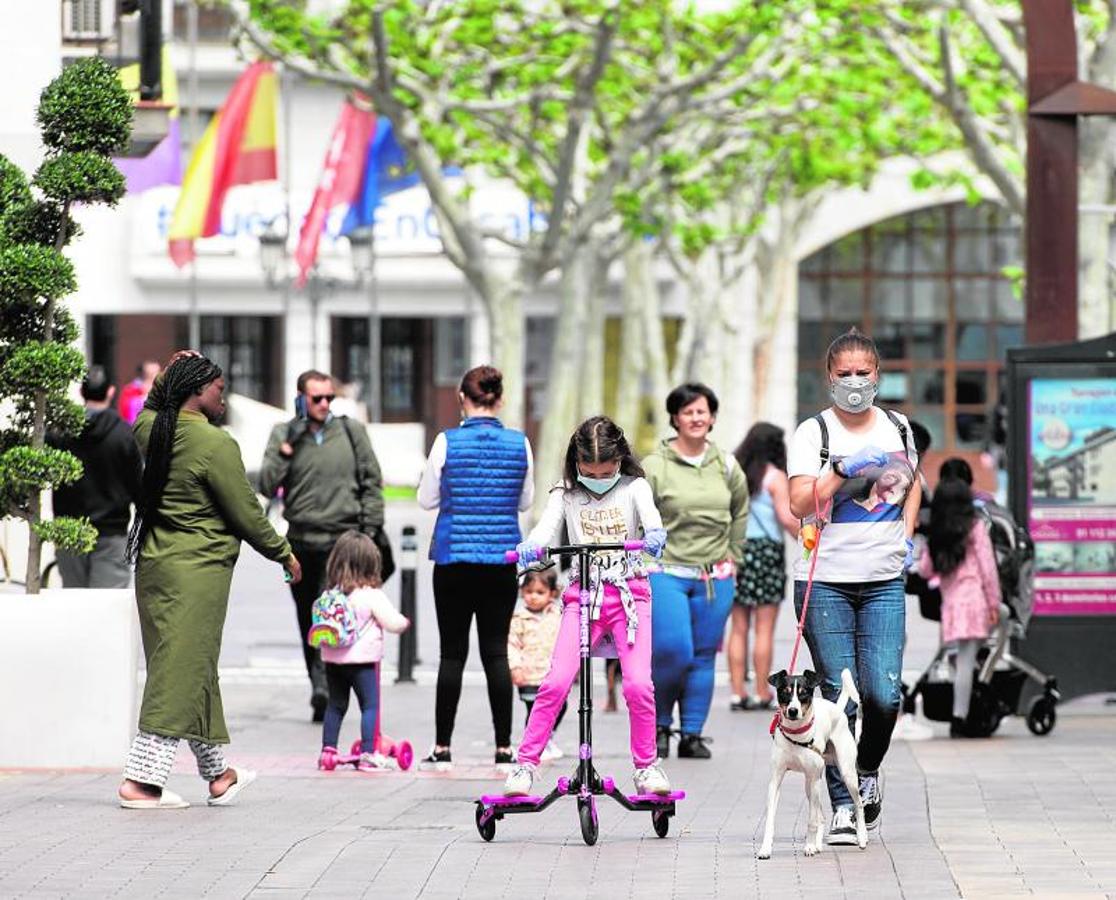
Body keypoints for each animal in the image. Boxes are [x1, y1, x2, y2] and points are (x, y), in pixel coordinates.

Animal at [754, 669, 866, 862]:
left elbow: (811, 820)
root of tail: (837, 708)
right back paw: (818, 845)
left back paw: (861, 838)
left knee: (858, 805)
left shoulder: (815, 780)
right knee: (821, 816)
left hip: (845, 774)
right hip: (809, 784)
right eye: (785, 692)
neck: (796, 735)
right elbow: (770, 819)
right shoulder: (776, 780)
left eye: (803, 693)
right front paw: (765, 849)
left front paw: (809, 847)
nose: (792, 711)